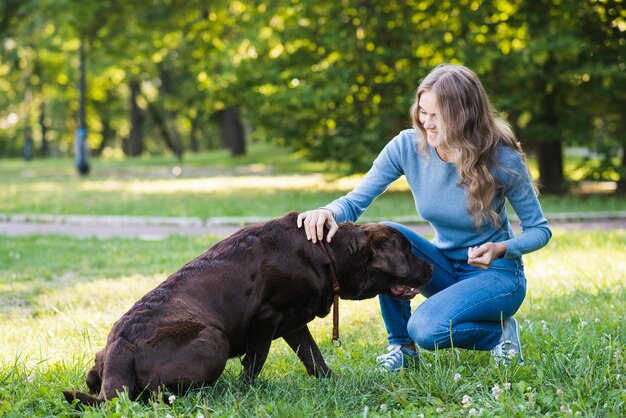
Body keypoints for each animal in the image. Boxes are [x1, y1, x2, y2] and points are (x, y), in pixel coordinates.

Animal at [66, 212, 432, 404]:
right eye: (409, 252)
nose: (430, 267)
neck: (328, 252)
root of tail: (120, 347)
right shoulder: (268, 316)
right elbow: (256, 360)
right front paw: (248, 391)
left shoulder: (294, 322)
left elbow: (313, 357)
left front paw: (333, 381)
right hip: (213, 339)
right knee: (156, 394)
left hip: (99, 363)